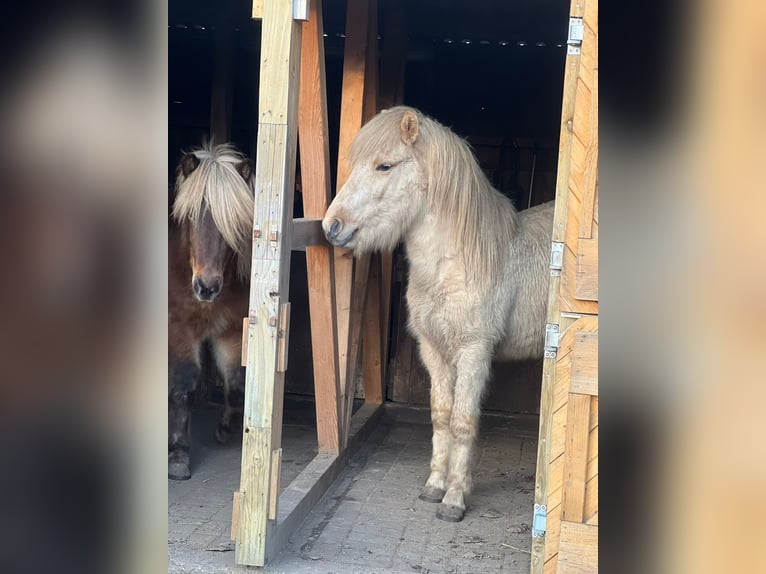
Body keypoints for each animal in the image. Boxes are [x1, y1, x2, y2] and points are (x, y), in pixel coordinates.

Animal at [168, 142, 254, 480]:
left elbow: (236, 384)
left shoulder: (231, 330)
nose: (207, 286)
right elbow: (183, 386)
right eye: (190, 215)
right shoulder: (179, 329)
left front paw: (227, 428)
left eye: (237, 223)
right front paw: (178, 454)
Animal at [322, 106, 554, 521]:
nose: (332, 227)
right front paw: (434, 486)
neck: (456, 263)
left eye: (384, 165)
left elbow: (462, 421)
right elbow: (441, 415)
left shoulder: (474, 352)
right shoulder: (433, 351)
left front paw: (455, 500)